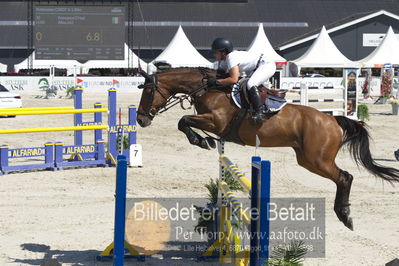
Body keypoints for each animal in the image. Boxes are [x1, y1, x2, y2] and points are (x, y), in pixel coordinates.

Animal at [137, 65, 399, 230]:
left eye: (148, 91)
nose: (140, 119)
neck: (210, 89)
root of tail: (333, 119)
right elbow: (185, 122)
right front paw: (204, 141)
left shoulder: (216, 121)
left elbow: (183, 121)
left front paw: (202, 141)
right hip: (307, 159)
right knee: (343, 177)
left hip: (317, 160)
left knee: (345, 177)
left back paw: (344, 215)